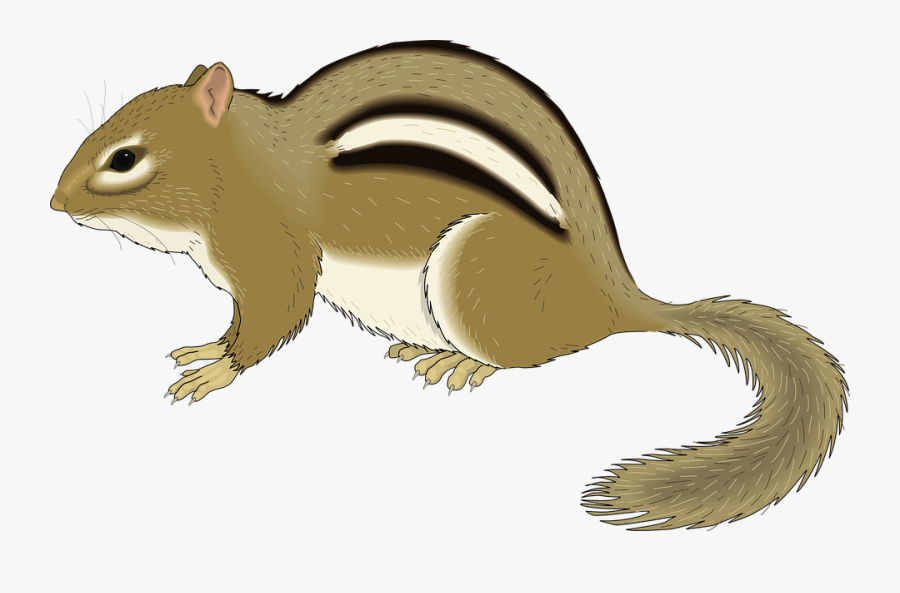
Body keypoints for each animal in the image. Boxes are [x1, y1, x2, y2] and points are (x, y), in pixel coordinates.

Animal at [51, 41, 847, 530]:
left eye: (124, 159)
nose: (54, 203)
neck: (243, 163)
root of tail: (612, 295)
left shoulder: (272, 252)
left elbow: (276, 315)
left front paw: (217, 365)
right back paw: (423, 352)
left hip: (476, 275)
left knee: (520, 359)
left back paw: (461, 363)